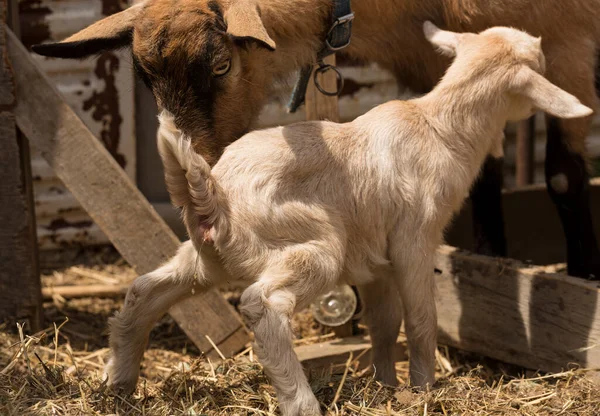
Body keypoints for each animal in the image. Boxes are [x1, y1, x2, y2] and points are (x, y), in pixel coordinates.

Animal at [31, 1, 600, 280]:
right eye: (145, 79)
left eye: (222, 64)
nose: (198, 168)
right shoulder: (431, 58)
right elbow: (480, 169)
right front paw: (490, 256)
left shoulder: (567, 39)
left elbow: (563, 176)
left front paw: (583, 276)